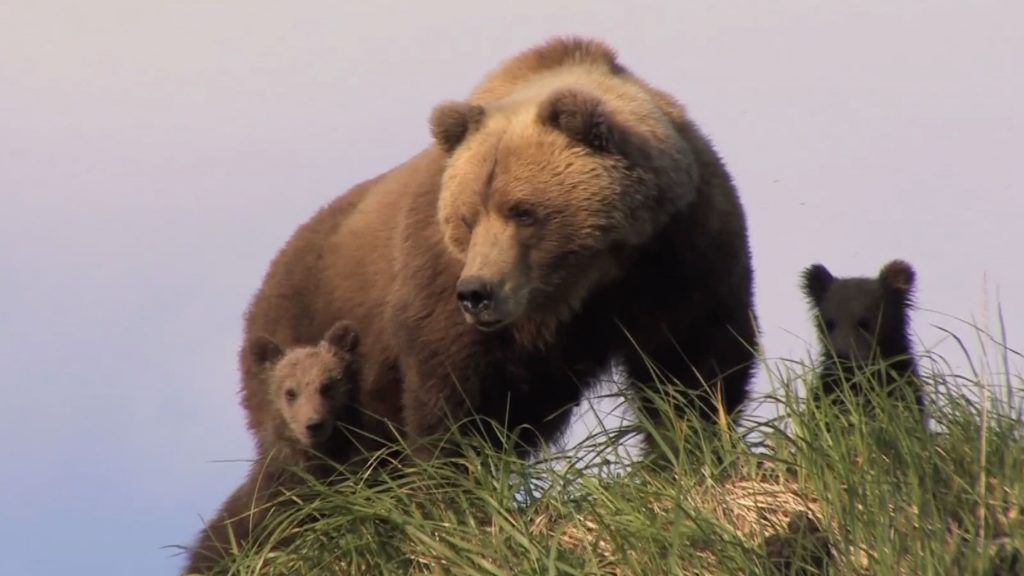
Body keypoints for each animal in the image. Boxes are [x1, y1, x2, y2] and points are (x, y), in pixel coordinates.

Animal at [236, 36, 760, 468]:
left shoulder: (679, 254)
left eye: (522, 210)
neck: (588, 280)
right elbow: (456, 405)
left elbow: (690, 365)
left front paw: (683, 455)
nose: (476, 293)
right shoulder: (443, 296)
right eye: (466, 219)